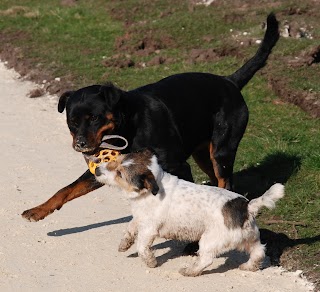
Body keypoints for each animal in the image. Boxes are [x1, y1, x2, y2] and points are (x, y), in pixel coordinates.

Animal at [22, 12, 278, 221]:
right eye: (72, 123)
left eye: (94, 118)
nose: (80, 144)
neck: (127, 128)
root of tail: (230, 81)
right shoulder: (101, 170)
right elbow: (66, 189)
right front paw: (38, 209)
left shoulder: (177, 165)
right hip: (203, 154)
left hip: (222, 149)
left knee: (225, 180)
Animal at [94, 148, 284, 276]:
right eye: (115, 160)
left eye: (119, 173)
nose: (96, 170)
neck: (149, 190)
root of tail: (247, 207)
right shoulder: (140, 218)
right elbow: (129, 227)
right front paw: (124, 244)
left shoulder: (149, 228)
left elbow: (141, 246)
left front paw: (150, 262)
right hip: (249, 239)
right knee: (259, 252)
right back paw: (249, 266)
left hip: (209, 240)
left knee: (206, 259)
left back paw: (190, 270)